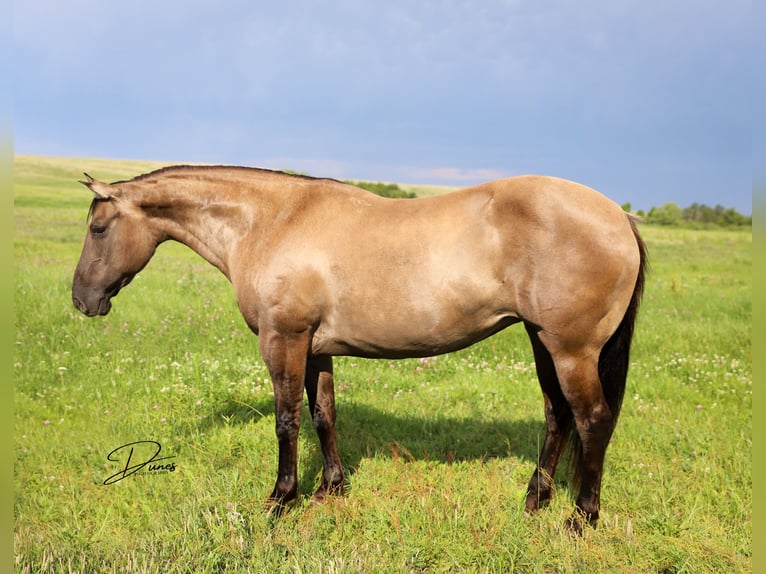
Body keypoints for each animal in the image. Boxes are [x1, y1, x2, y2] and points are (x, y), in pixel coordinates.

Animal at [72, 165, 648, 536]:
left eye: (98, 228)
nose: (82, 300)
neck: (271, 221)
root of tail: (618, 216)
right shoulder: (315, 348)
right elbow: (323, 414)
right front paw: (331, 489)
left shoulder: (283, 340)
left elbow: (287, 420)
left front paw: (281, 500)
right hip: (541, 340)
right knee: (558, 416)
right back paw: (534, 501)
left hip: (570, 349)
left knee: (592, 419)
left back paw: (581, 518)